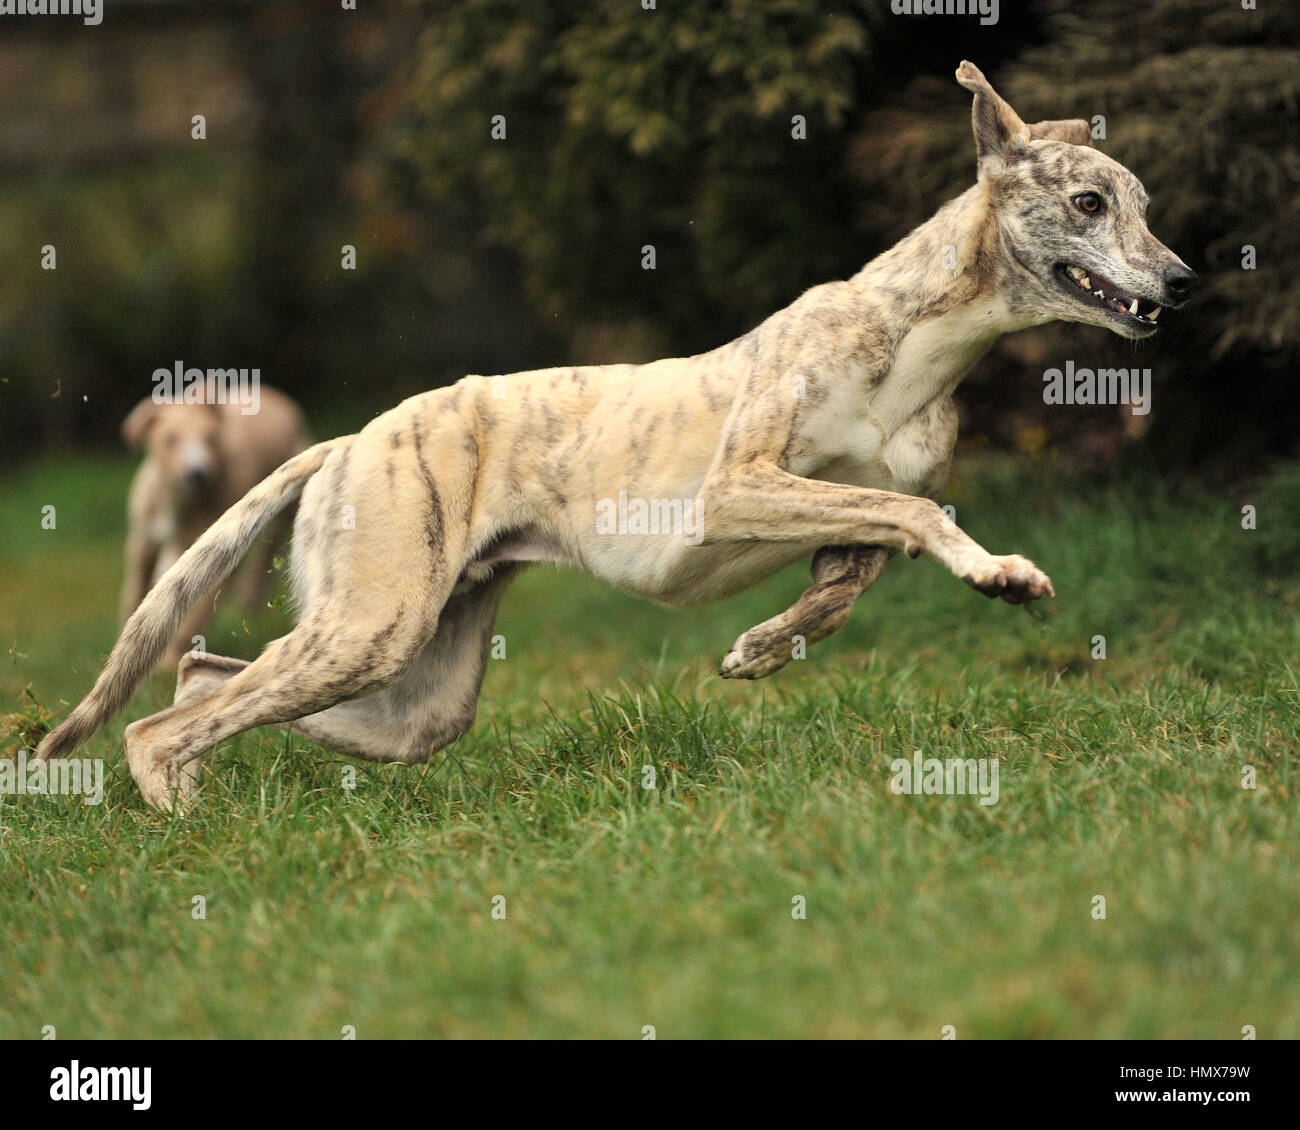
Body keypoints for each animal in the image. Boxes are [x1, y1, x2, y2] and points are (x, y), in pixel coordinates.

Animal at [120, 384, 312, 660]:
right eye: (170, 440)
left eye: (212, 439)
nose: (197, 474)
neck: (181, 502)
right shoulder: (143, 540)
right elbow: (136, 588)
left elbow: (199, 608)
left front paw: (170, 657)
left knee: (266, 553)